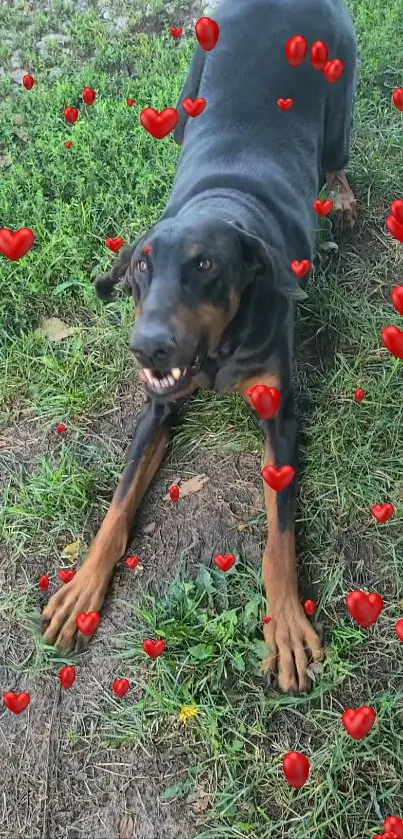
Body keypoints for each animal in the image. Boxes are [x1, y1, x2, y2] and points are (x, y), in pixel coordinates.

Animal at [42, 0, 358, 696]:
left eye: (205, 265)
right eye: (139, 268)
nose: (147, 349)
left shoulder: (280, 410)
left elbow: (279, 533)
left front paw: (285, 624)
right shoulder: (158, 406)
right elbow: (118, 503)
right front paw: (81, 591)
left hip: (339, 103)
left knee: (336, 157)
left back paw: (345, 197)